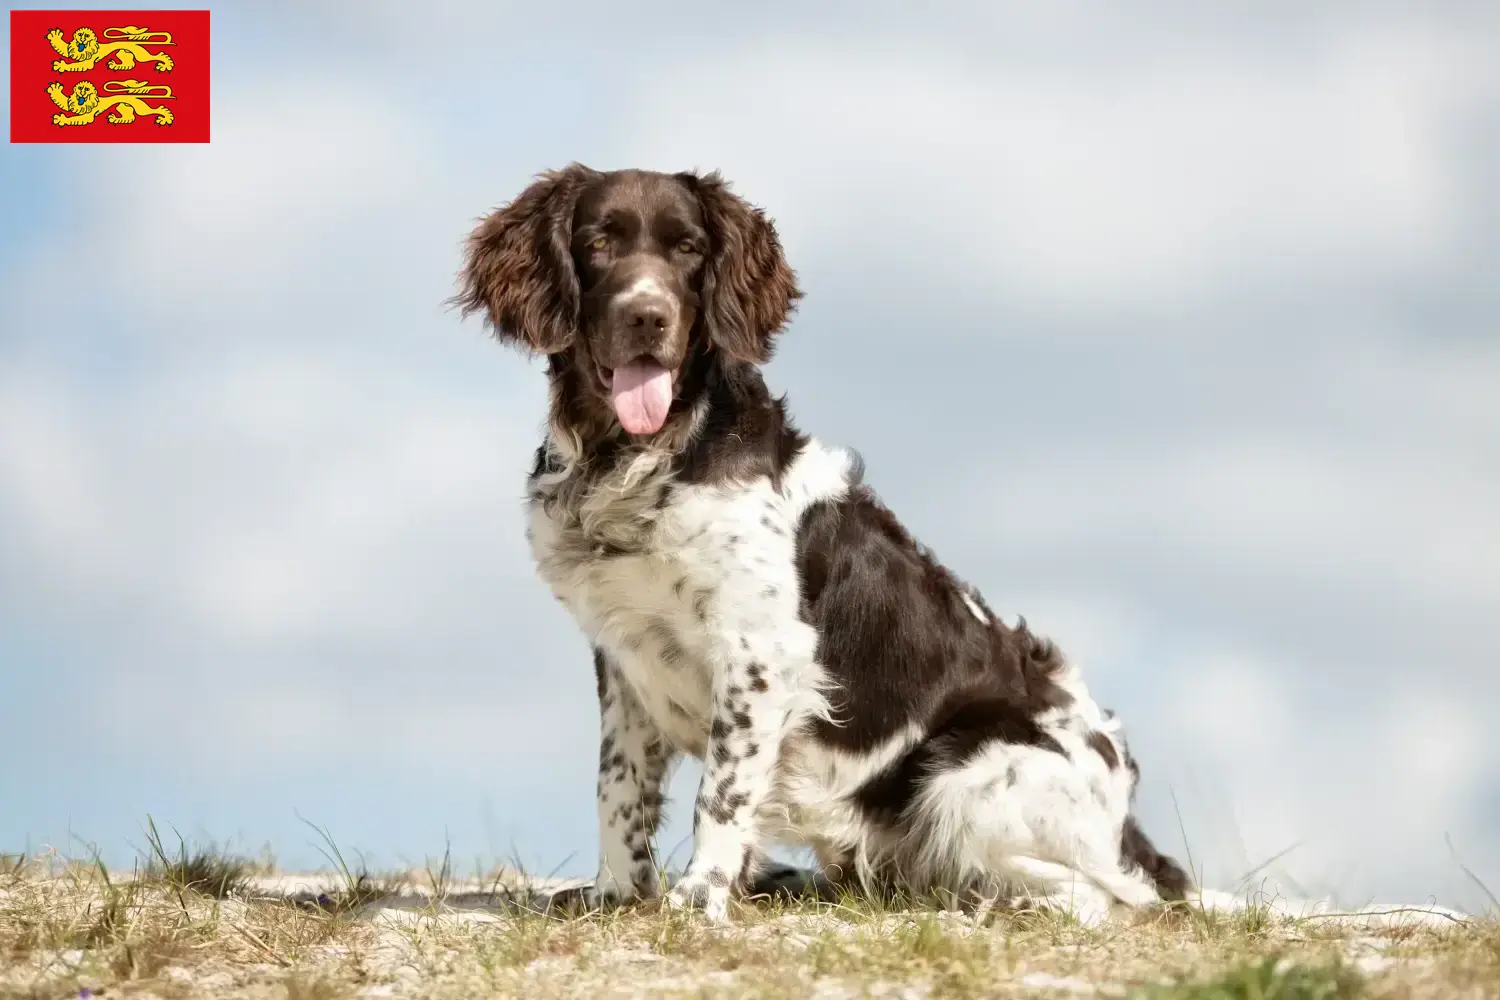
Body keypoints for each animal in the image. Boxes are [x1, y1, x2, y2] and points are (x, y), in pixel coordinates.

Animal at [450, 162, 1188, 923]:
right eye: (599, 242)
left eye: (689, 250)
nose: (648, 317)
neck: (637, 458)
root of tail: (1127, 824)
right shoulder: (623, 655)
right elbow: (617, 788)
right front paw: (618, 894)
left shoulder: (759, 651)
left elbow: (721, 793)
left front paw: (701, 894)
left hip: (966, 769)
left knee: (1098, 898)